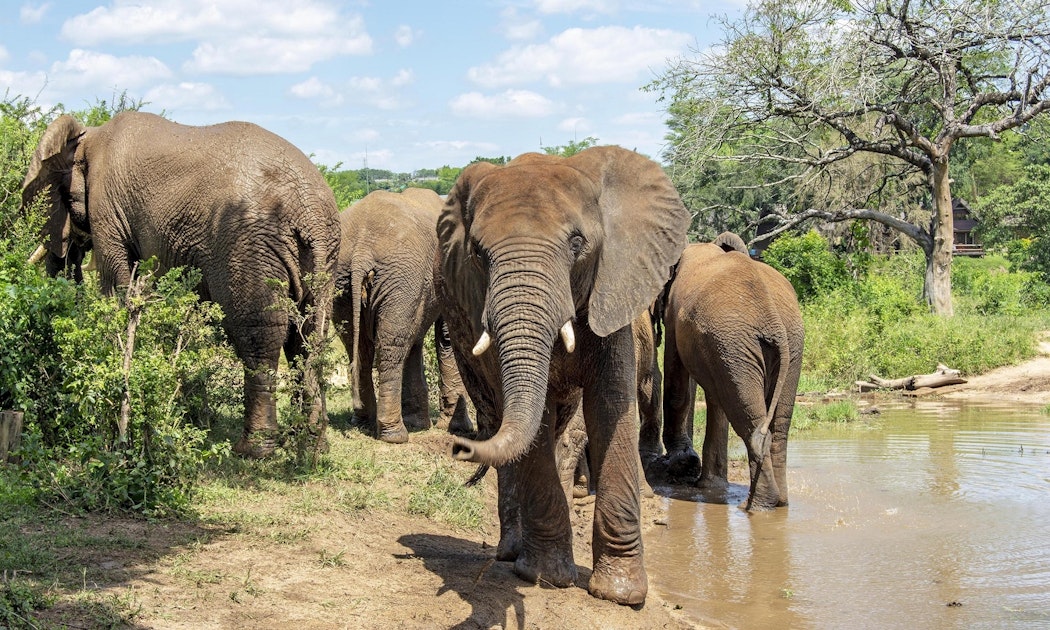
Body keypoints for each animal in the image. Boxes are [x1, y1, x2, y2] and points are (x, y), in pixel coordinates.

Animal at [21, 111, 341, 458]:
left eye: (62, 194)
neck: (88, 135)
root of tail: (312, 211)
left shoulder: (107, 208)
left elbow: (115, 288)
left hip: (247, 246)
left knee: (258, 334)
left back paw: (251, 450)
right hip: (323, 255)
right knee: (306, 336)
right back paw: (310, 443)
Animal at [332, 188, 471, 443]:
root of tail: (361, 251)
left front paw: (420, 423)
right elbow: (447, 337)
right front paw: (458, 427)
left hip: (344, 279)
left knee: (359, 346)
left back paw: (363, 422)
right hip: (399, 277)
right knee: (391, 347)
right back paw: (394, 435)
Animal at [435, 146, 689, 605]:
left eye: (576, 243)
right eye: (478, 253)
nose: (459, 448)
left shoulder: (614, 289)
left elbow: (610, 407)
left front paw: (620, 594)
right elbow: (530, 423)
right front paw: (546, 577)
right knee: (499, 418)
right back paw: (513, 551)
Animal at [659, 233, 804, 511]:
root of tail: (774, 321)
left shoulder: (674, 315)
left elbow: (677, 387)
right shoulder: (717, 348)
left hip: (740, 342)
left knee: (751, 424)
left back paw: (756, 506)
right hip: (780, 346)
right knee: (778, 427)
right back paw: (780, 503)